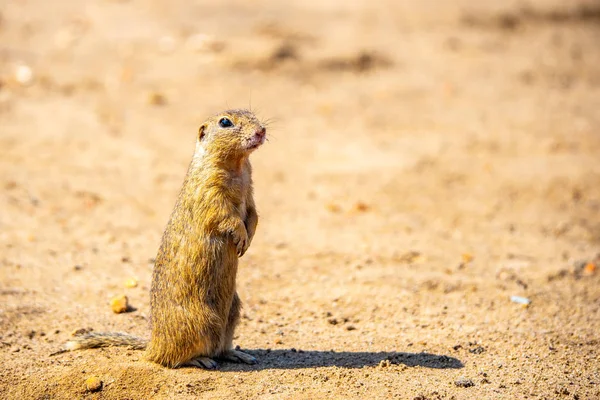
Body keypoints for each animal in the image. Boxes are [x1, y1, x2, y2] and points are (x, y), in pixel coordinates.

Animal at [62, 108, 266, 368]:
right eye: (225, 122)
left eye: (252, 114)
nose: (262, 131)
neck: (237, 165)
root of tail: (153, 344)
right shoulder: (210, 194)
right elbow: (225, 216)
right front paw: (240, 235)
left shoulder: (249, 190)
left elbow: (253, 213)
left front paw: (248, 239)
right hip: (199, 321)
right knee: (173, 358)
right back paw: (201, 359)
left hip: (233, 309)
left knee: (219, 347)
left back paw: (237, 354)